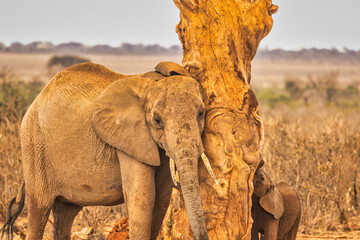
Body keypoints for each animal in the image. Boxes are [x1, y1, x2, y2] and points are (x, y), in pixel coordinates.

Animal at [1, 62, 215, 240]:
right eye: (157, 120)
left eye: (201, 113)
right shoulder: (129, 140)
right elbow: (142, 196)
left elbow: (161, 198)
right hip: (33, 145)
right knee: (40, 208)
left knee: (65, 212)